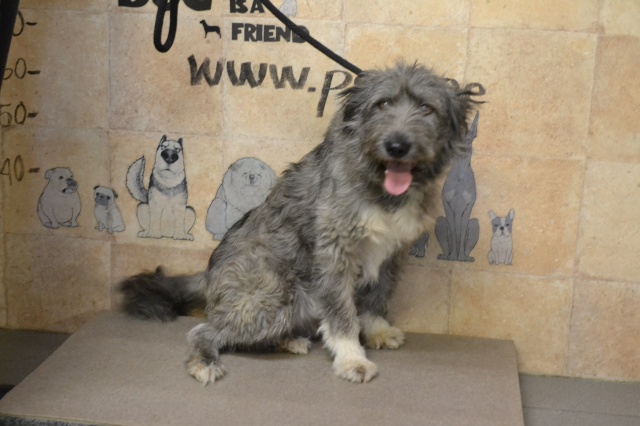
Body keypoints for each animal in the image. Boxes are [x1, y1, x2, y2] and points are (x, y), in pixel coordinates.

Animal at [120, 63, 483, 385]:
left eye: (426, 108)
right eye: (382, 104)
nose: (397, 145)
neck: (379, 185)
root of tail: (208, 277)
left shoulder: (392, 252)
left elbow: (378, 294)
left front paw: (376, 328)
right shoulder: (335, 251)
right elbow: (341, 313)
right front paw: (351, 357)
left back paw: (287, 340)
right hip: (274, 297)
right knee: (204, 330)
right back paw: (205, 360)